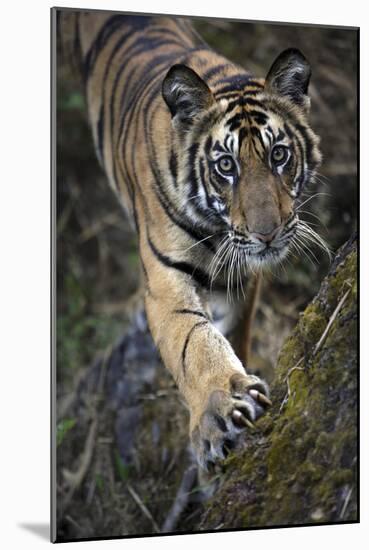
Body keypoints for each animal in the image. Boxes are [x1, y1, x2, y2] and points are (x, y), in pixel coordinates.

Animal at [56, 10, 320, 472]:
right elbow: (193, 342)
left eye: (279, 155)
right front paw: (220, 411)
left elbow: (231, 331)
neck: (217, 228)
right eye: (226, 165)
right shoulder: (166, 281)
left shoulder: (239, 276)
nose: (267, 233)